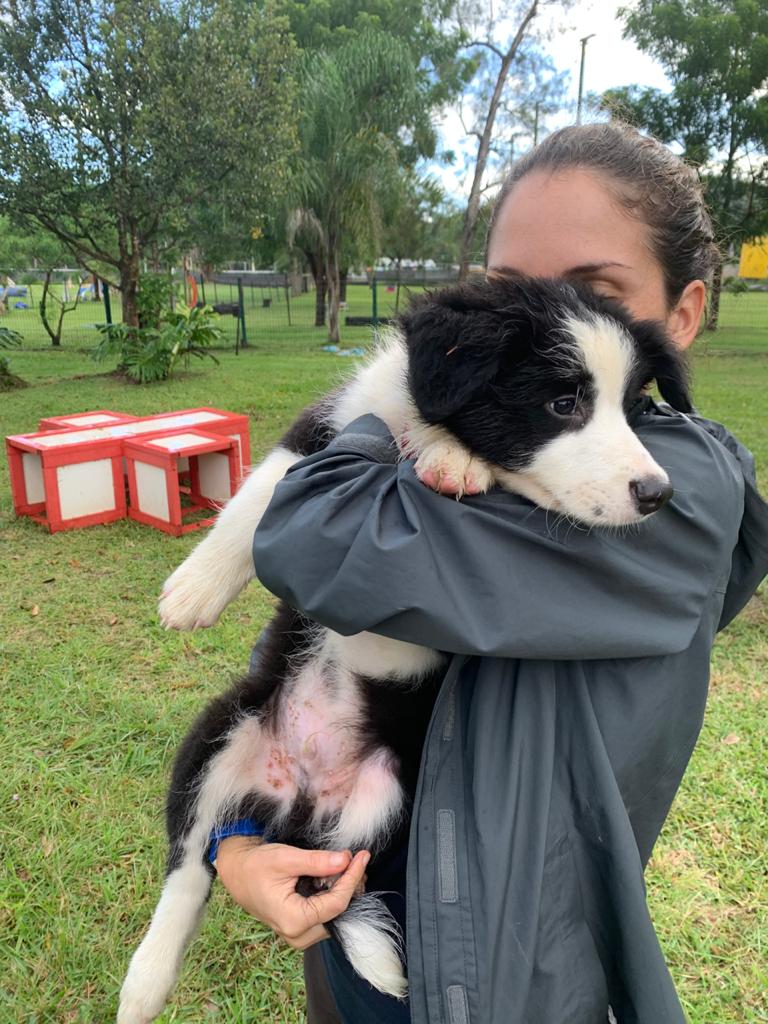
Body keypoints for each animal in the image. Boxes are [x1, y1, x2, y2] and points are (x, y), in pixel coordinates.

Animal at [117, 276, 696, 1019]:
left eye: (635, 408)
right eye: (563, 404)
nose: (659, 494)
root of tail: (298, 796)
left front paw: (452, 458)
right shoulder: (327, 428)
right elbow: (257, 499)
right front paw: (193, 592)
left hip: (385, 803)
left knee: (339, 878)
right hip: (219, 735)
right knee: (190, 865)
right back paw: (144, 984)